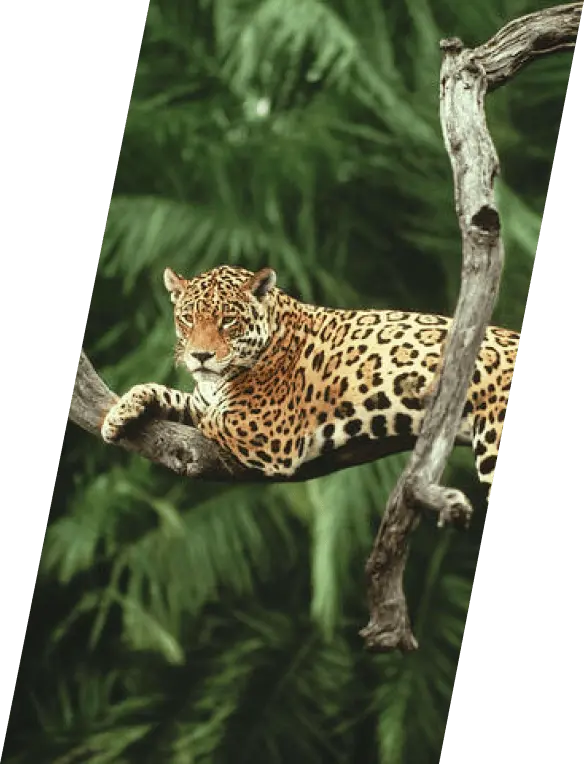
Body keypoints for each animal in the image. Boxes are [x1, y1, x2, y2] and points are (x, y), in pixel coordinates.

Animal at [101, 264, 519, 495]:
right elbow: (173, 396)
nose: (200, 355)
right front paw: (118, 413)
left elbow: (212, 418)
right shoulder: (206, 397)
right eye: (187, 319)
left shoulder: (268, 431)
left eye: (228, 321)